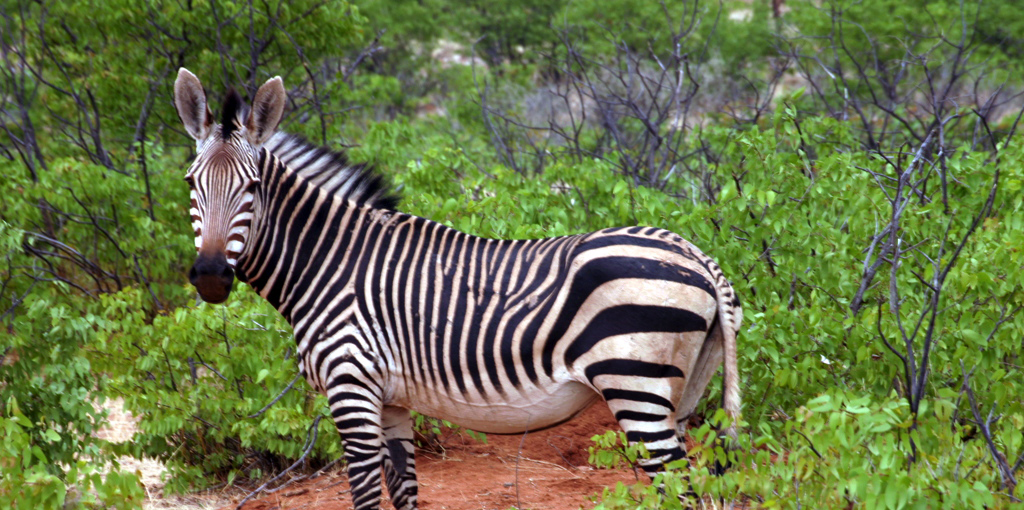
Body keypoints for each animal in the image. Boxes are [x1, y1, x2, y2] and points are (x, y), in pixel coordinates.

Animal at [172, 68, 741, 510]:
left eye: (252, 188)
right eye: (190, 183)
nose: (211, 276)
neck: (330, 262)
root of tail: (697, 255)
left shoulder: (351, 385)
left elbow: (365, 495)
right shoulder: (391, 400)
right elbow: (403, 492)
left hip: (636, 385)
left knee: (680, 490)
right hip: (681, 393)